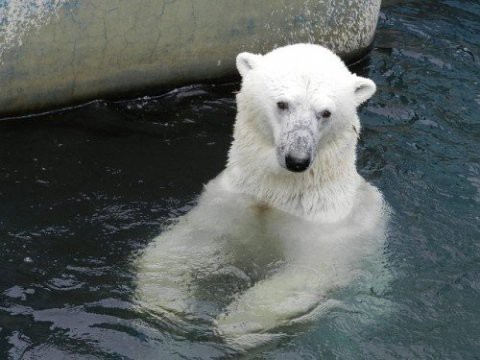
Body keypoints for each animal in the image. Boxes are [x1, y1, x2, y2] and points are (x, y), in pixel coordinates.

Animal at [133, 43, 388, 348]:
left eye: (325, 112)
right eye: (282, 104)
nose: (297, 159)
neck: (279, 192)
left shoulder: (325, 226)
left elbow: (304, 274)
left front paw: (235, 323)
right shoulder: (233, 198)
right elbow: (185, 244)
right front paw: (165, 302)